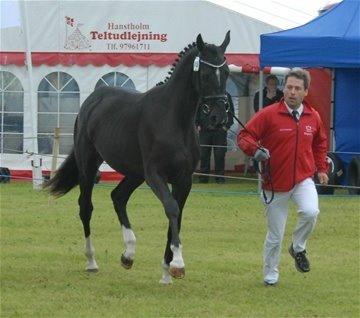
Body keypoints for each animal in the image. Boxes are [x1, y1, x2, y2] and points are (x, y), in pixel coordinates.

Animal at [45, 31, 231, 284]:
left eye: (227, 72)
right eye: (205, 73)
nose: (218, 117)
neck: (173, 119)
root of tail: (93, 99)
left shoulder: (184, 180)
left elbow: (177, 216)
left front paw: (167, 271)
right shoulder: (155, 175)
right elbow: (171, 209)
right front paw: (178, 264)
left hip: (134, 173)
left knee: (118, 197)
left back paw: (128, 254)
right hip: (89, 166)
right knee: (86, 207)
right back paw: (92, 261)